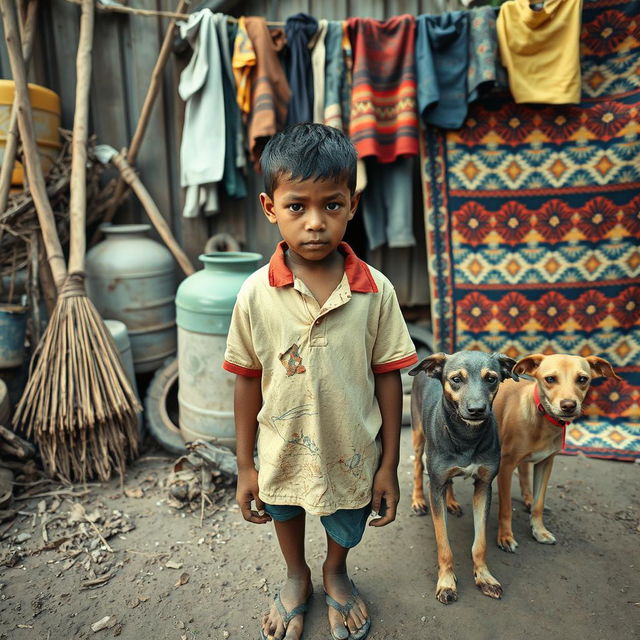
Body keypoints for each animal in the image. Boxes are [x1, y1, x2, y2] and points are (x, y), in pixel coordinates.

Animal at [410, 350, 520, 604]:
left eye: (491, 378)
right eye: (456, 379)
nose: (477, 410)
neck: (466, 437)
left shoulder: (484, 486)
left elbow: (480, 543)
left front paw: (484, 577)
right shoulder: (436, 487)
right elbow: (443, 544)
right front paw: (446, 581)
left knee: (449, 480)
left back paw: (451, 502)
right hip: (418, 435)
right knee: (418, 468)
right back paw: (417, 500)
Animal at [490, 352, 620, 552]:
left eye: (582, 379)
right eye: (550, 379)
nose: (568, 405)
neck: (542, 419)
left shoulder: (546, 464)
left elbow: (539, 503)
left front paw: (539, 530)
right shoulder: (505, 466)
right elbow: (505, 507)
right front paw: (505, 536)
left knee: (524, 473)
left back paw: (528, 499)